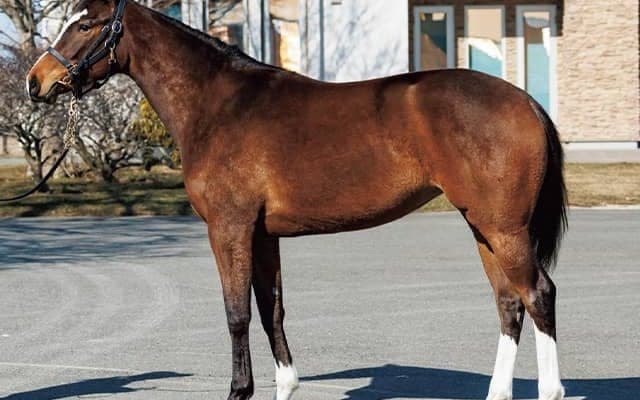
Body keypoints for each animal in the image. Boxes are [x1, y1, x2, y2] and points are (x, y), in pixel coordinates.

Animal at [26, 0, 567, 399]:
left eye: (85, 24)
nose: (36, 81)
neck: (219, 105)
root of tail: (525, 101)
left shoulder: (228, 229)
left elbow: (237, 313)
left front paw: (239, 390)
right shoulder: (263, 235)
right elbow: (272, 309)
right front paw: (285, 384)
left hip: (504, 229)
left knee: (538, 294)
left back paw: (552, 389)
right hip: (483, 228)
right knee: (509, 303)